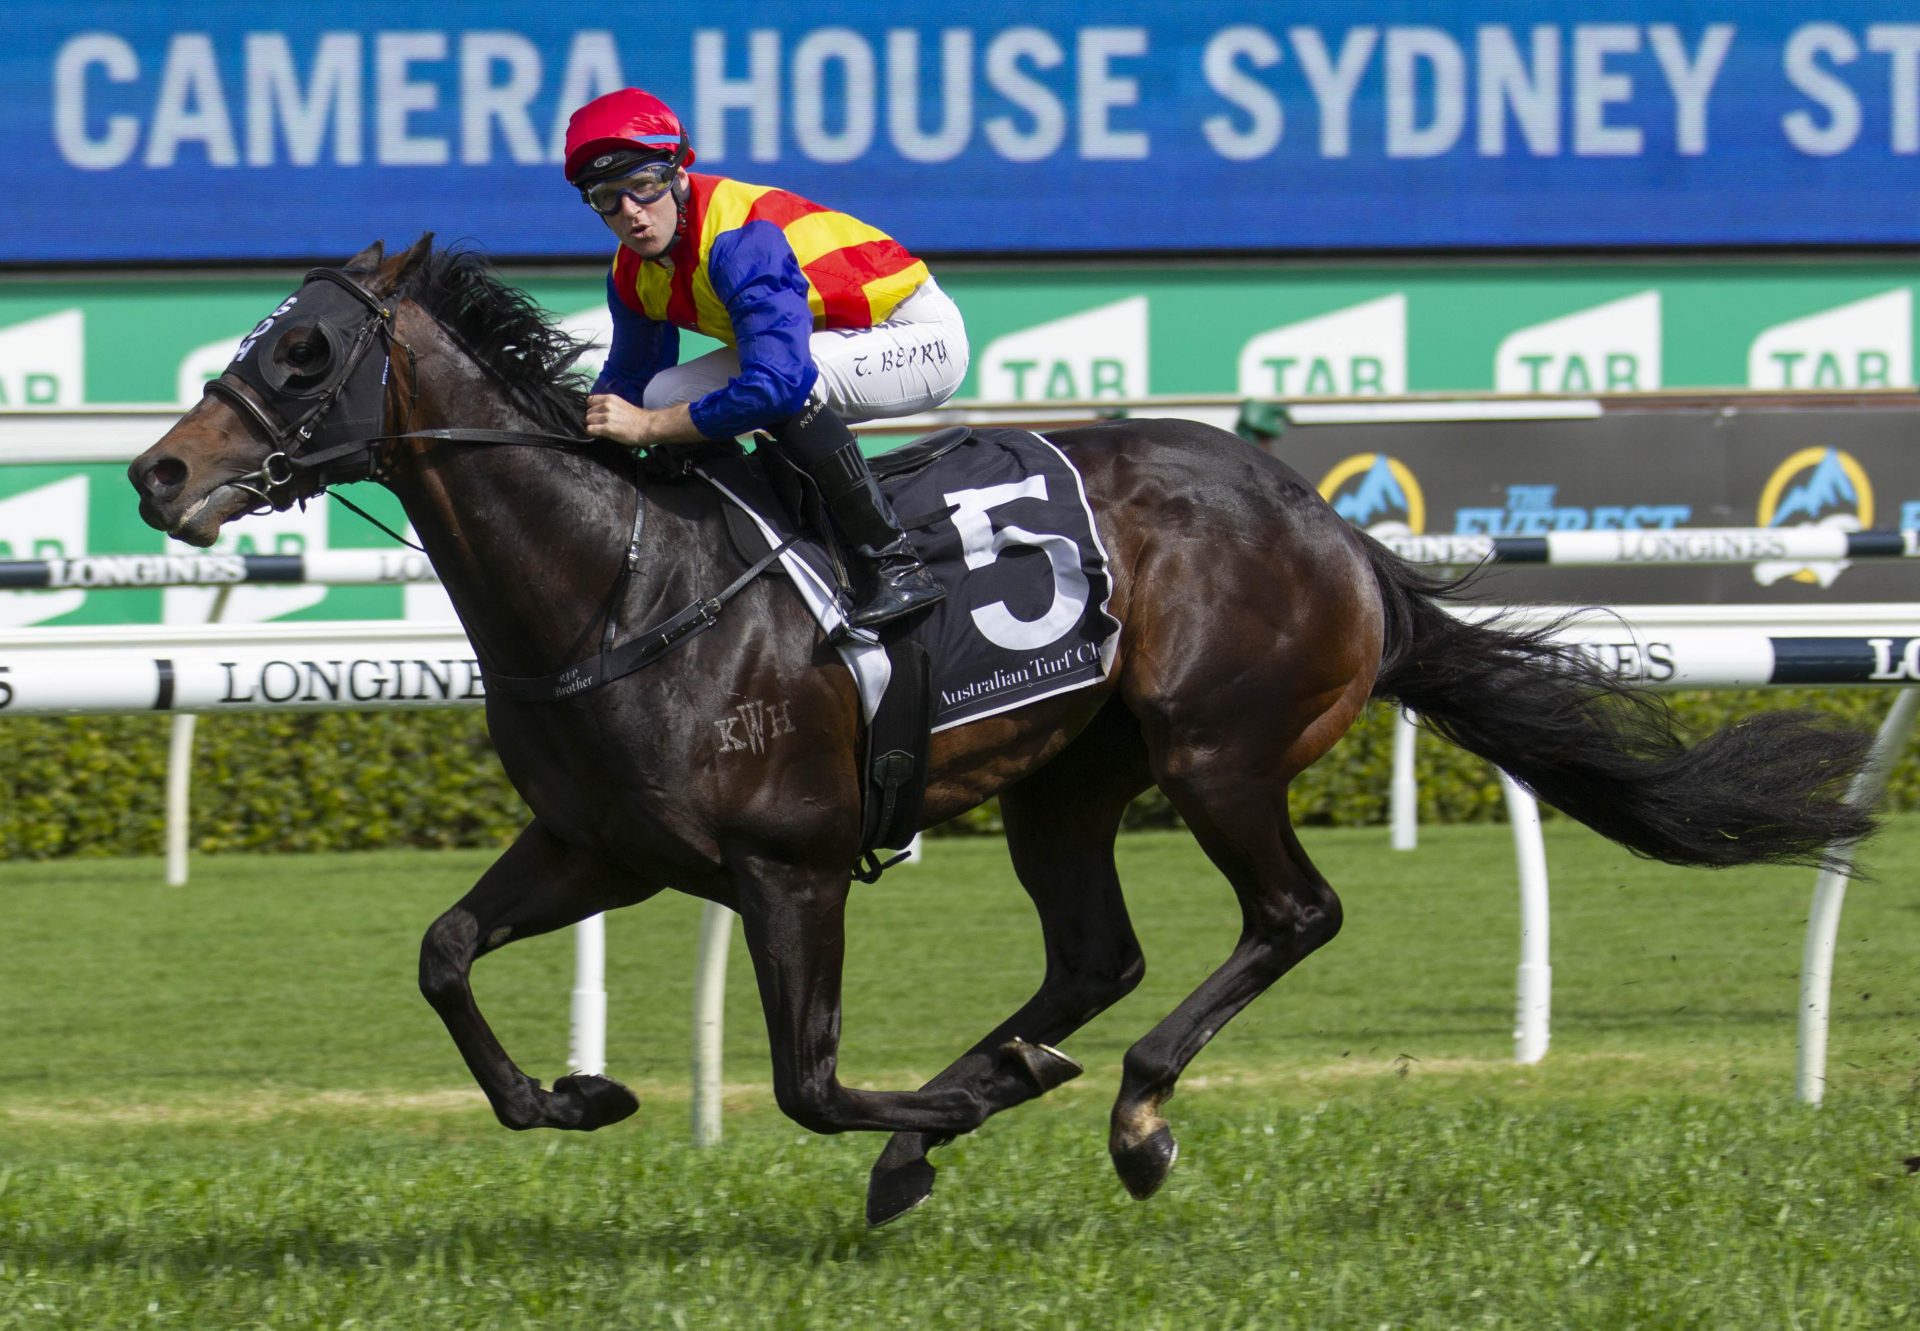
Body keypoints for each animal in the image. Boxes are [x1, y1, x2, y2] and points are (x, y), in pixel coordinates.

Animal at [131, 241, 1873, 1221]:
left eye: (305, 349)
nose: (156, 473)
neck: (622, 580)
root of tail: (1329, 522)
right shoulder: (595, 846)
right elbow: (442, 956)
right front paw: (585, 1095)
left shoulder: (790, 865)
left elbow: (813, 1081)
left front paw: (945, 1111)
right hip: (1065, 783)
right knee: (1097, 951)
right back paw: (1018, 1076)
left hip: (1218, 747)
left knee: (1288, 913)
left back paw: (1131, 1107)